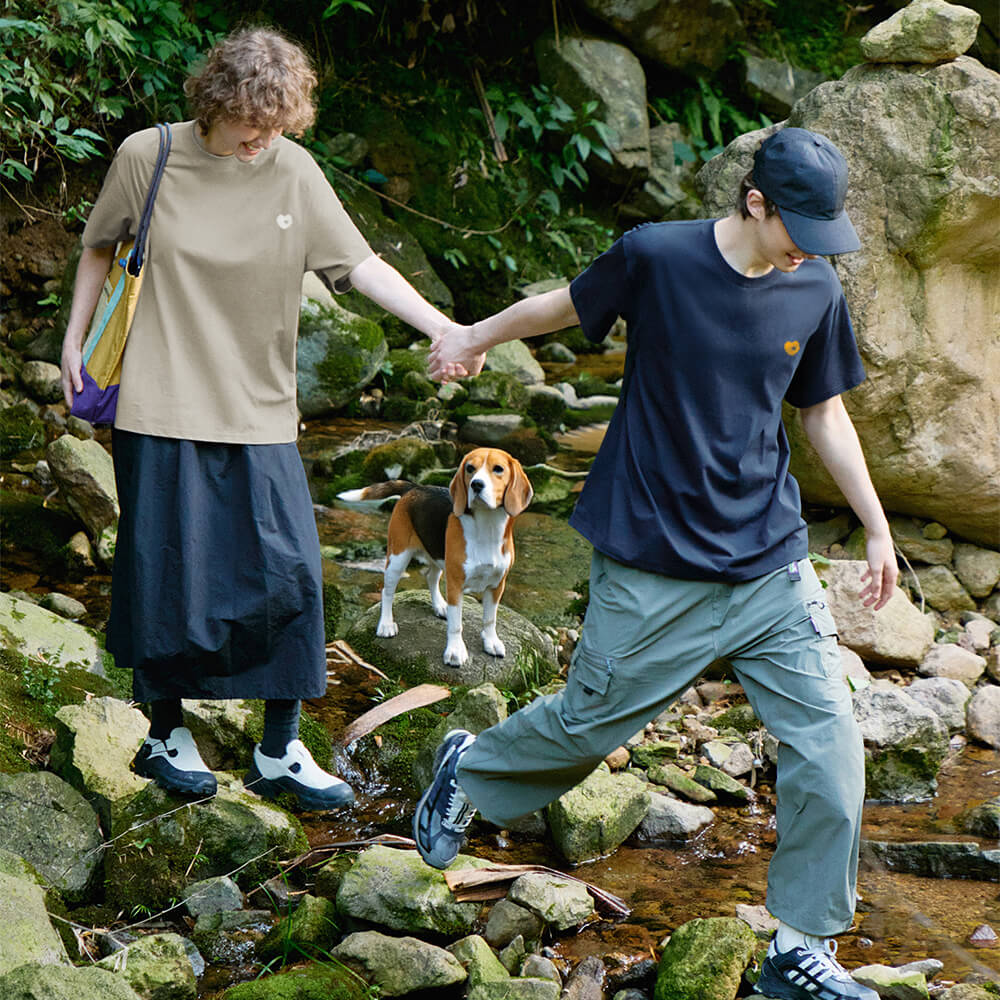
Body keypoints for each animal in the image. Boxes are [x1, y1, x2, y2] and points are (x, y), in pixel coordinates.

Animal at [338, 450, 532, 668]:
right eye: (470, 468)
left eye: (498, 469)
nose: (476, 484)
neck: (487, 527)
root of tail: (415, 487)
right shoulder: (456, 583)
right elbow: (456, 624)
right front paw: (455, 651)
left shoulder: (497, 584)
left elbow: (490, 619)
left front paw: (491, 642)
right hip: (398, 557)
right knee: (387, 592)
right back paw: (386, 624)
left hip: (437, 556)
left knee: (431, 577)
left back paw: (440, 606)